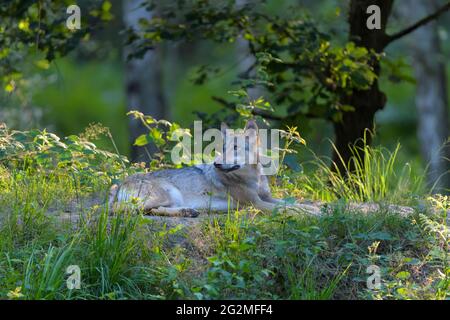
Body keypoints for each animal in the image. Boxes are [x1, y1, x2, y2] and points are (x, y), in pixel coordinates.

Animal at [108, 120, 298, 218]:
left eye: (235, 148)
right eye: (222, 149)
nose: (216, 164)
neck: (253, 178)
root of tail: (122, 182)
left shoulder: (266, 198)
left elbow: (292, 203)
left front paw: (305, 209)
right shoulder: (255, 203)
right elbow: (287, 209)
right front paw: (305, 214)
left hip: (170, 199)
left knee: (152, 210)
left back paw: (188, 211)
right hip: (166, 195)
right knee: (118, 209)